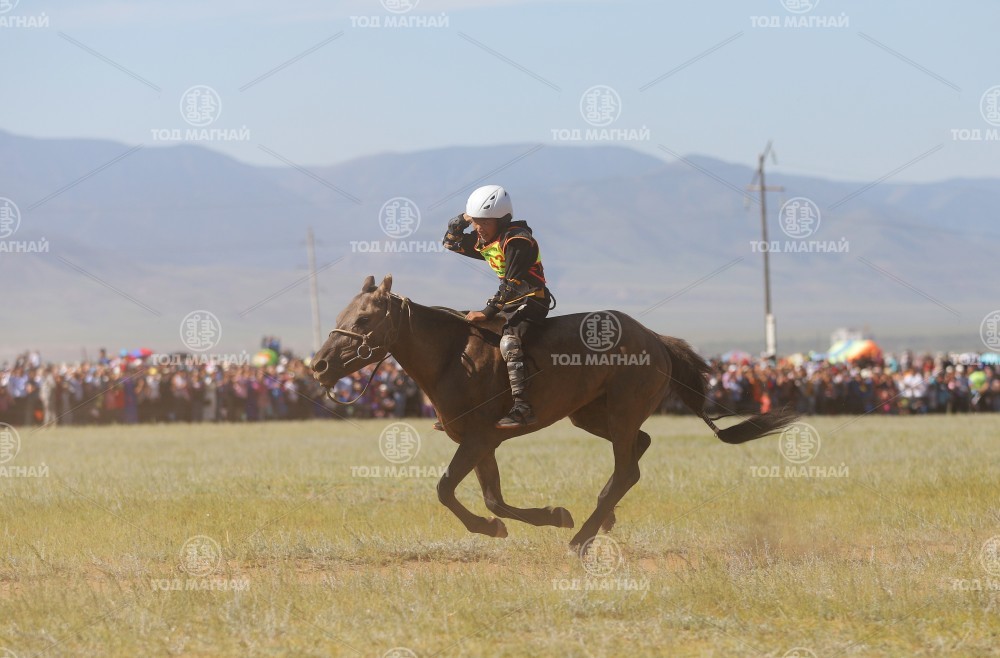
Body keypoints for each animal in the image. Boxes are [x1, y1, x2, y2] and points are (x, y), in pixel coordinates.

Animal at [311, 274, 799, 550]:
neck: (453, 356)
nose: (318, 365)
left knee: (627, 469)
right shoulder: (482, 443)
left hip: (621, 411)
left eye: (364, 321)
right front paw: (542, 516)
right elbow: (493, 498)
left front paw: (503, 526)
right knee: (637, 450)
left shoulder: (479, 438)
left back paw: (582, 536)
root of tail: (657, 340)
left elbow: (447, 490)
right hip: (590, 414)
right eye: (340, 317)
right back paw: (602, 518)